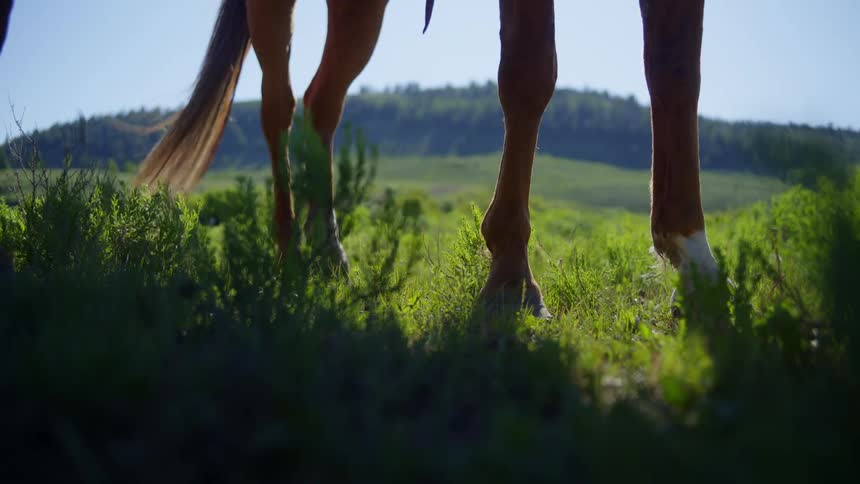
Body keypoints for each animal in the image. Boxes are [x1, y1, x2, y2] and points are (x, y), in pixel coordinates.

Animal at [134, 0, 719, 318]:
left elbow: (675, 69)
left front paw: (694, 258)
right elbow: (529, 70)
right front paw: (511, 279)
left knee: (322, 102)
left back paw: (328, 250)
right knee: (276, 104)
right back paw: (289, 249)